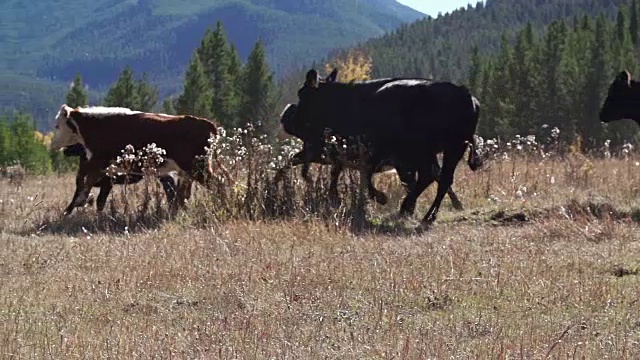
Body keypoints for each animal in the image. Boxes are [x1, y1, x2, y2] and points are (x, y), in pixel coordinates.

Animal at [52, 105, 228, 215]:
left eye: (57, 125)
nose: (53, 144)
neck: (99, 125)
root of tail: (209, 125)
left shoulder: (99, 161)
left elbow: (85, 182)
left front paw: (79, 202)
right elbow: (87, 184)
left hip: (197, 168)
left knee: (217, 183)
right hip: (189, 171)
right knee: (184, 193)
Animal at [288, 68, 480, 224]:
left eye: (301, 93)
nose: (291, 118)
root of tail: (464, 94)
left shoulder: (375, 152)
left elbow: (366, 175)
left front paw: (380, 197)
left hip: (426, 151)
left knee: (431, 176)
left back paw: (413, 210)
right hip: (451, 148)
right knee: (440, 177)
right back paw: (424, 214)